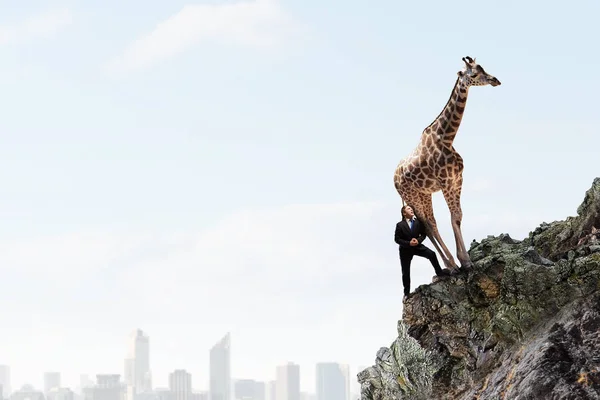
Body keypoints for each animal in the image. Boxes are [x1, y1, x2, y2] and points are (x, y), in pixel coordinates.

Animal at [394, 56, 502, 274]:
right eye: (474, 73)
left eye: (483, 67)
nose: (495, 80)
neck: (447, 138)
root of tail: (393, 179)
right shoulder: (445, 182)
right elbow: (454, 217)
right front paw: (464, 262)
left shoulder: (457, 180)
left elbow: (458, 216)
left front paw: (466, 260)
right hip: (410, 195)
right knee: (426, 224)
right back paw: (450, 265)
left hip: (423, 193)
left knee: (431, 222)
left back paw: (450, 264)